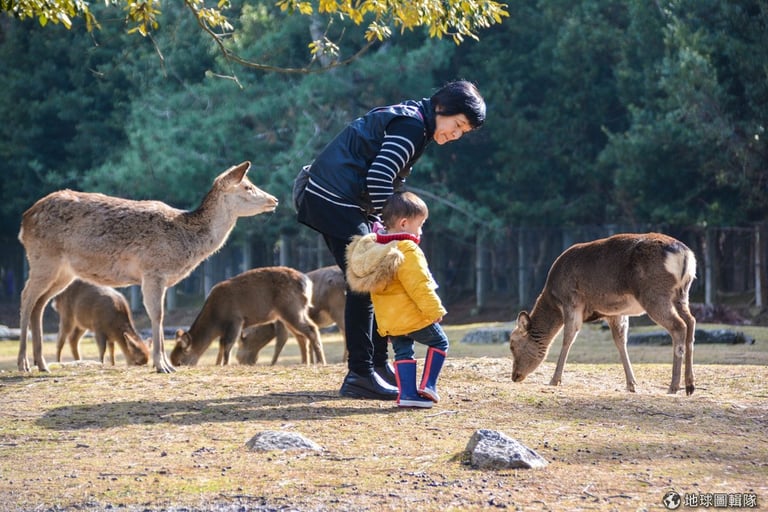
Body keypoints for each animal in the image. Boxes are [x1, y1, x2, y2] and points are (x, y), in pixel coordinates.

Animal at [17, 162, 280, 374]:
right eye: (247, 186)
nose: (274, 200)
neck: (185, 242)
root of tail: (24, 222)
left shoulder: (161, 278)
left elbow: (159, 316)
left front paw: (166, 364)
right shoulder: (152, 270)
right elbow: (158, 315)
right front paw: (162, 365)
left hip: (64, 271)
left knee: (39, 304)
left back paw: (42, 364)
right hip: (43, 259)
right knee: (26, 297)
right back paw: (24, 363)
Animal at [171, 266, 328, 366]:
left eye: (179, 362)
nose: (175, 365)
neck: (215, 318)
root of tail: (307, 283)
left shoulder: (235, 320)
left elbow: (228, 344)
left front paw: (225, 364)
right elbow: (221, 344)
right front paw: (217, 363)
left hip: (292, 309)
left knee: (312, 329)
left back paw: (321, 362)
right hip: (288, 314)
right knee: (302, 336)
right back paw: (305, 362)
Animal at [508, 233, 700, 396]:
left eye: (512, 345)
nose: (515, 376)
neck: (553, 299)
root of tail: (685, 255)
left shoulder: (572, 302)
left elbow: (568, 339)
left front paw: (554, 380)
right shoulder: (615, 312)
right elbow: (620, 341)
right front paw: (631, 384)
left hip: (654, 294)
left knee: (679, 326)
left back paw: (673, 386)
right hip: (682, 294)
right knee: (691, 322)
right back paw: (690, 385)